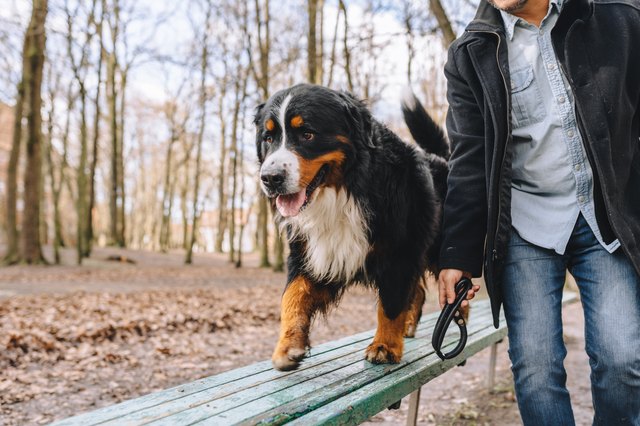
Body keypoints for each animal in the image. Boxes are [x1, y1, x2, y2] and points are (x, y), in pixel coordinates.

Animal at [254, 83, 450, 370]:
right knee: (419, 291)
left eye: (307, 134)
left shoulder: (400, 252)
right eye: (268, 138)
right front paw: (288, 346)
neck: (346, 189)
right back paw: (409, 327)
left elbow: (390, 304)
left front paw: (385, 346)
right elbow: (292, 295)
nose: (270, 178)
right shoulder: (310, 253)